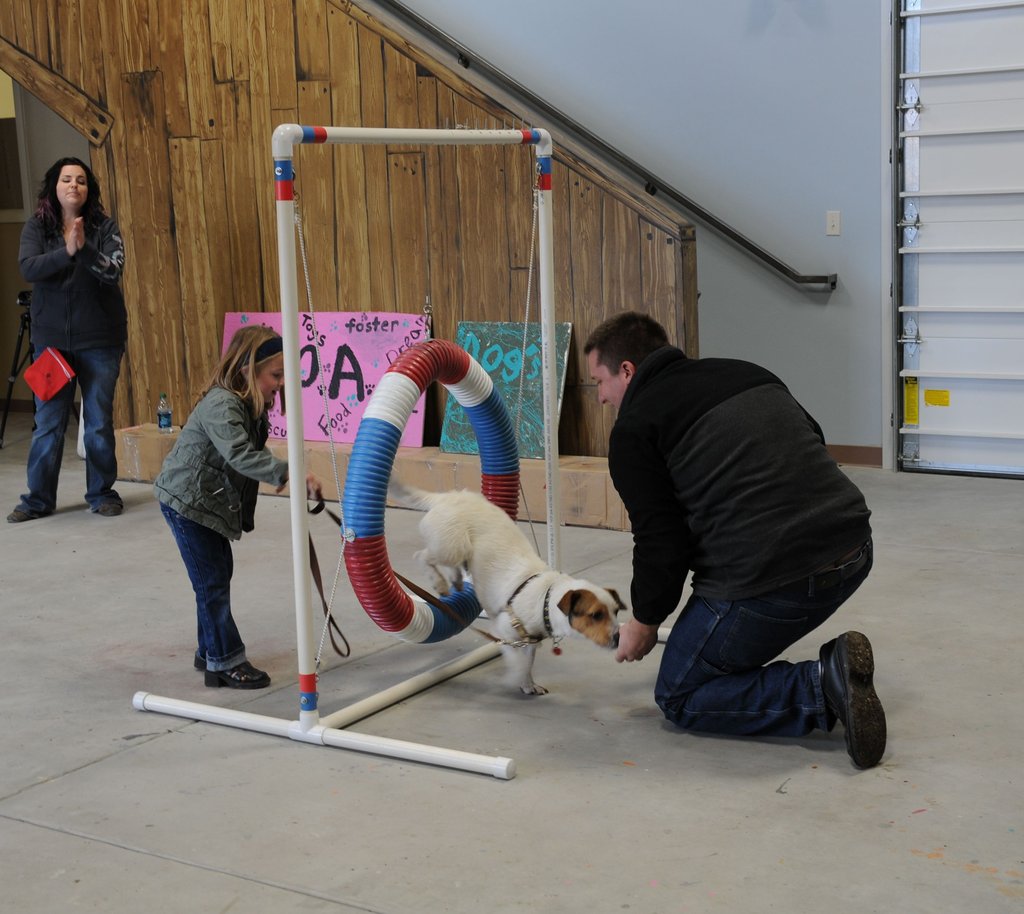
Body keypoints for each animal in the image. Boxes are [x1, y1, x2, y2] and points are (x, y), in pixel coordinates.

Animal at [388, 480, 625, 694]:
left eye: (615, 612)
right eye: (595, 615)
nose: (619, 638)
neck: (545, 598)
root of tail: (445, 497)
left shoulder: (529, 641)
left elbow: (528, 662)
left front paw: (529, 685)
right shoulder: (505, 632)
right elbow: (519, 662)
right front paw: (516, 679)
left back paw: (455, 579)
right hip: (451, 547)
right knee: (422, 556)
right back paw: (438, 581)